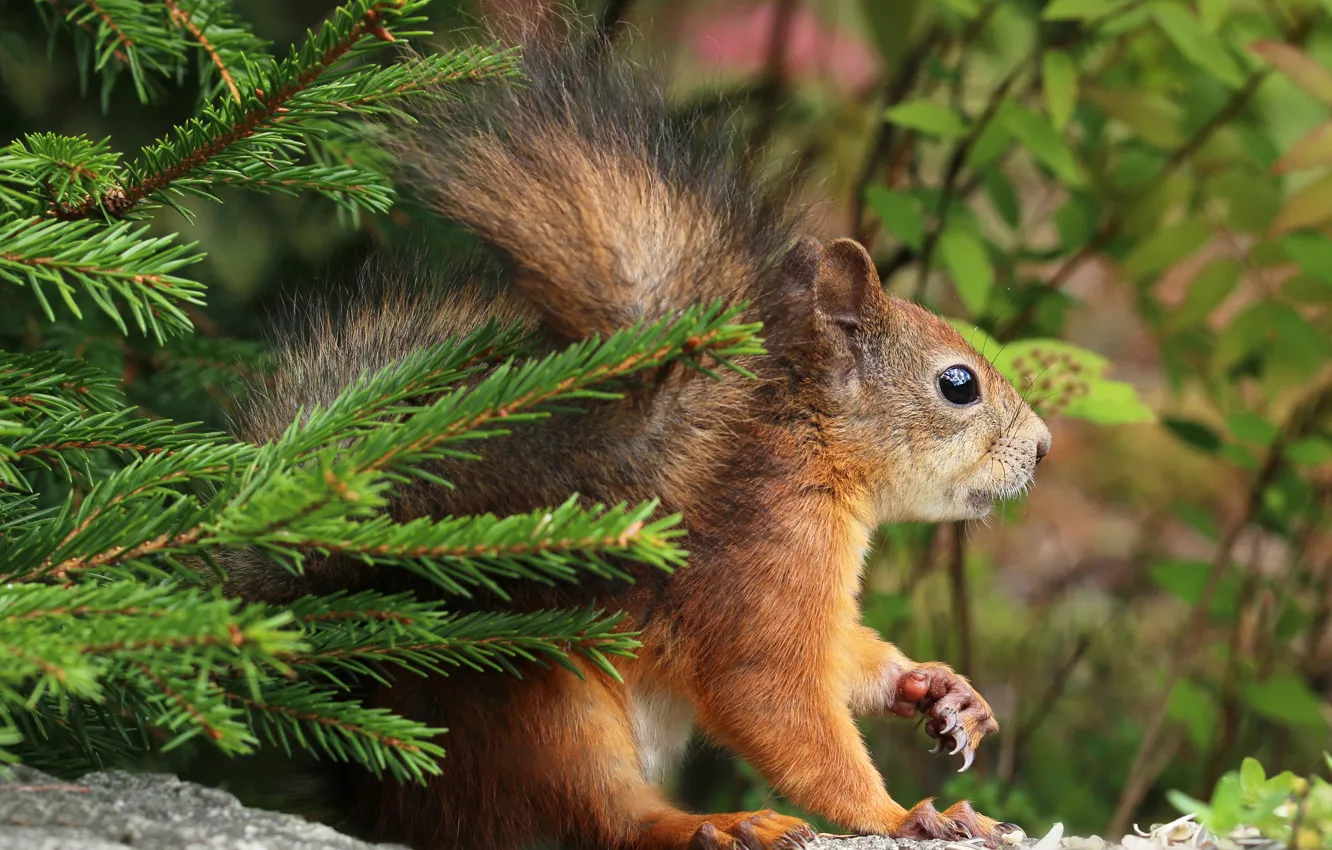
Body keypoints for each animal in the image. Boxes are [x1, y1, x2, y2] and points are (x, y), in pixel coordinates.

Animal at [221, 19, 1054, 850]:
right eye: (958, 385)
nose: (1044, 446)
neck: (807, 449)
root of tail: (385, 798)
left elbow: (845, 654)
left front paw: (942, 689)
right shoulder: (762, 564)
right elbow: (777, 703)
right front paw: (902, 813)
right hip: (547, 709)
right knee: (606, 816)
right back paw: (724, 823)